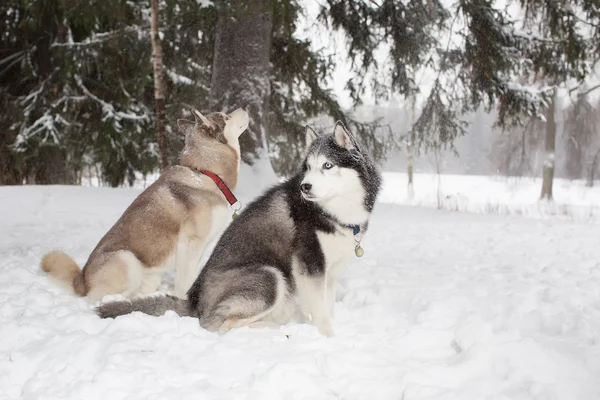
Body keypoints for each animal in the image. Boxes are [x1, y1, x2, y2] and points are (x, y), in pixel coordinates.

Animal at [39, 108, 250, 302]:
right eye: (226, 116)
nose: (244, 108)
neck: (206, 173)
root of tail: (82, 280)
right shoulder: (191, 243)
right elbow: (185, 281)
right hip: (126, 259)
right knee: (102, 298)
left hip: (150, 278)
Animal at [98, 121, 380, 334]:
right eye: (308, 167)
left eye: (327, 165)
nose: (305, 187)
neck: (332, 211)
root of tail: (194, 301)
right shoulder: (308, 268)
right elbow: (320, 314)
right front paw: (328, 338)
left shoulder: (329, 273)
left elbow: (327, 306)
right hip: (269, 276)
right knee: (218, 324)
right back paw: (276, 330)